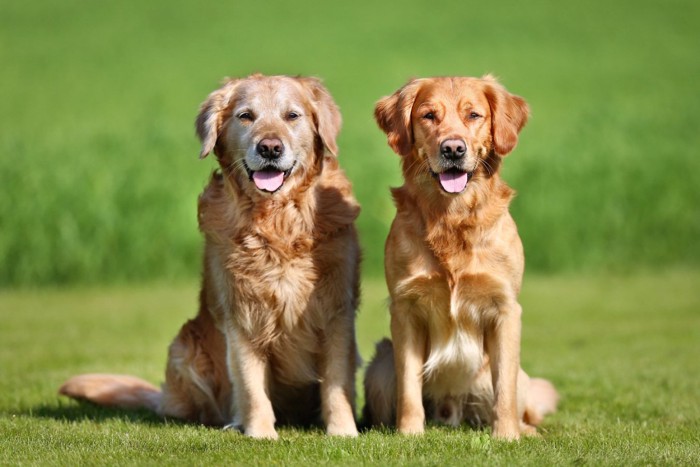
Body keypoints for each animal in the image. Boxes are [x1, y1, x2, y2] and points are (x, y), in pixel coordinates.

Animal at [60, 73, 360, 438]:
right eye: (246, 116)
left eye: (292, 116)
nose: (270, 148)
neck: (276, 220)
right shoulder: (240, 313)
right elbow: (251, 385)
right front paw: (260, 432)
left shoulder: (337, 311)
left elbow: (336, 380)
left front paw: (343, 430)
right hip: (185, 348)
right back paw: (231, 422)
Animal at [366, 76, 556, 438]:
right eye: (428, 116)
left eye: (474, 115)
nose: (453, 149)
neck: (451, 217)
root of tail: (450, 408)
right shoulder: (405, 308)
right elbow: (409, 385)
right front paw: (409, 433)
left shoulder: (506, 308)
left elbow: (504, 387)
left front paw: (506, 435)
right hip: (380, 366)